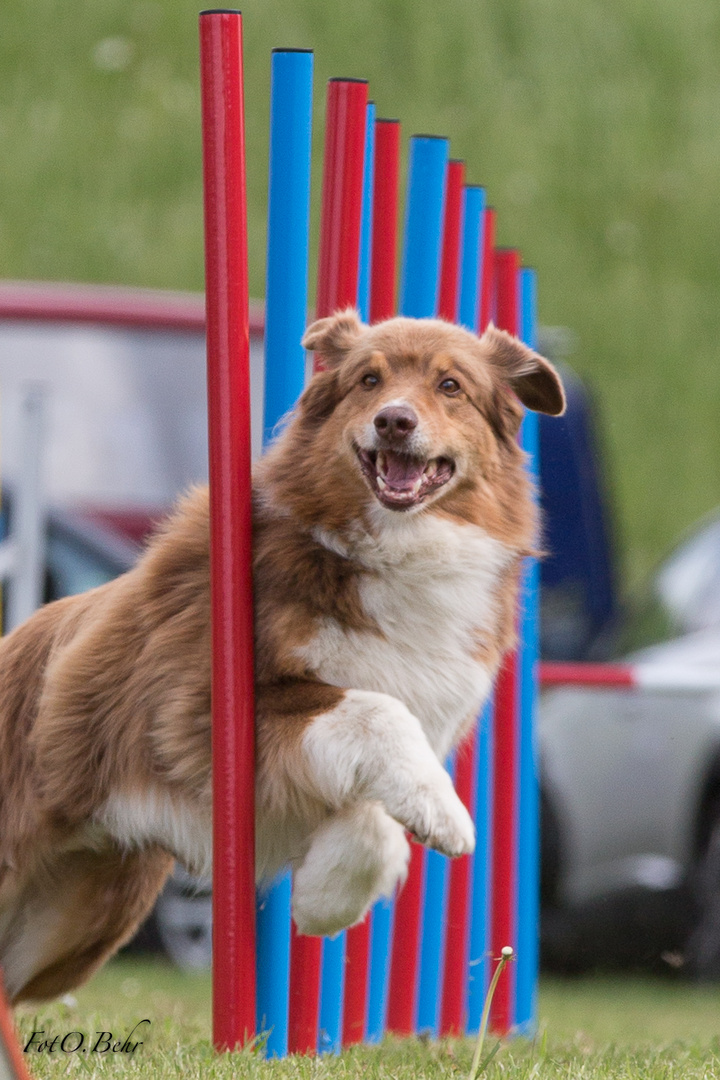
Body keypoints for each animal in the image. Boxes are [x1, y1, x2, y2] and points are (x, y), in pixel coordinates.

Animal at [0, 308, 565, 997]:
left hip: (80, 917)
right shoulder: (195, 712)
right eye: (369, 379)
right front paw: (446, 814)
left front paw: (324, 899)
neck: (396, 546)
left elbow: (377, 815)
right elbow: (377, 710)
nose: (394, 421)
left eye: (450, 385)